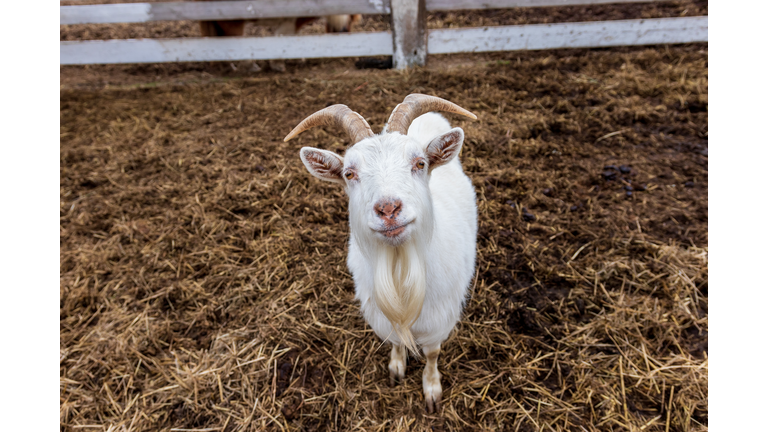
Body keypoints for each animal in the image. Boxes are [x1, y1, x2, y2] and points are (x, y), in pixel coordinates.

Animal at [284, 93, 476, 412]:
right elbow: (396, 342)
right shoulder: (384, 317)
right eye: (349, 173)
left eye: (420, 163)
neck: (400, 265)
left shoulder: (440, 321)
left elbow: (432, 353)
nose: (388, 209)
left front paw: (432, 390)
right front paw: (396, 369)